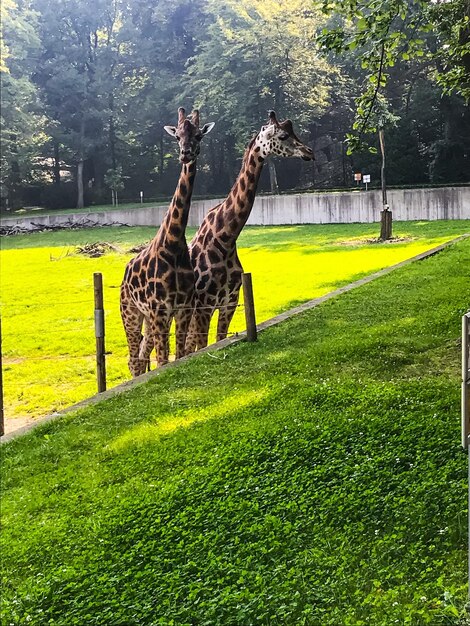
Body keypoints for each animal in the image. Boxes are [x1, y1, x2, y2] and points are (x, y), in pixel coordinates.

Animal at [119, 106, 215, 376]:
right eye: (177, 136)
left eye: (198, 135)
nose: (185, 154)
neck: (172, 243)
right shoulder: (160, 310)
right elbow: (164, 361)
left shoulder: (182, 309)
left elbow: (179, 355)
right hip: (131, 313)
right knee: (133, 358)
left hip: (149, 319)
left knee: (142, 353)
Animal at [185, 108, 314, 352]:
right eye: (283, 136)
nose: (309, 152)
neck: (226, 239)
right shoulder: (205, 305)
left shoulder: (230, 302)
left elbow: (219, 339)